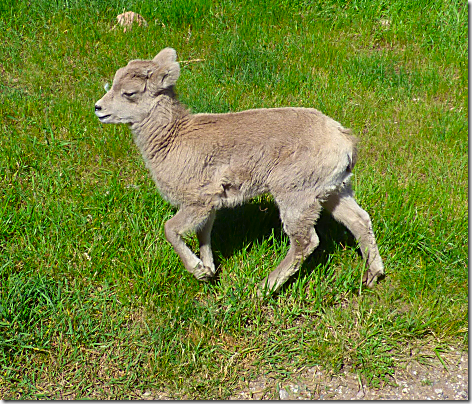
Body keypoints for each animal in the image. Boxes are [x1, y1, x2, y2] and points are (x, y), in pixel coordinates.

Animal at [94, 47, 386, 296]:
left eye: (129, 93)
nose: (98, 108)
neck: (173, 138)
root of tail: (345, 142)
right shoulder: (211, 203)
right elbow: (203, 233)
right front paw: (209, 271)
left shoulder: (198, 199)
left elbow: (170, 229)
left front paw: (198, 271)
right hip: (333, 189)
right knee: (360, 221)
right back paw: (373, 275)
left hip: (296, 194)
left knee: (306, 241)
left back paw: (263, 290)